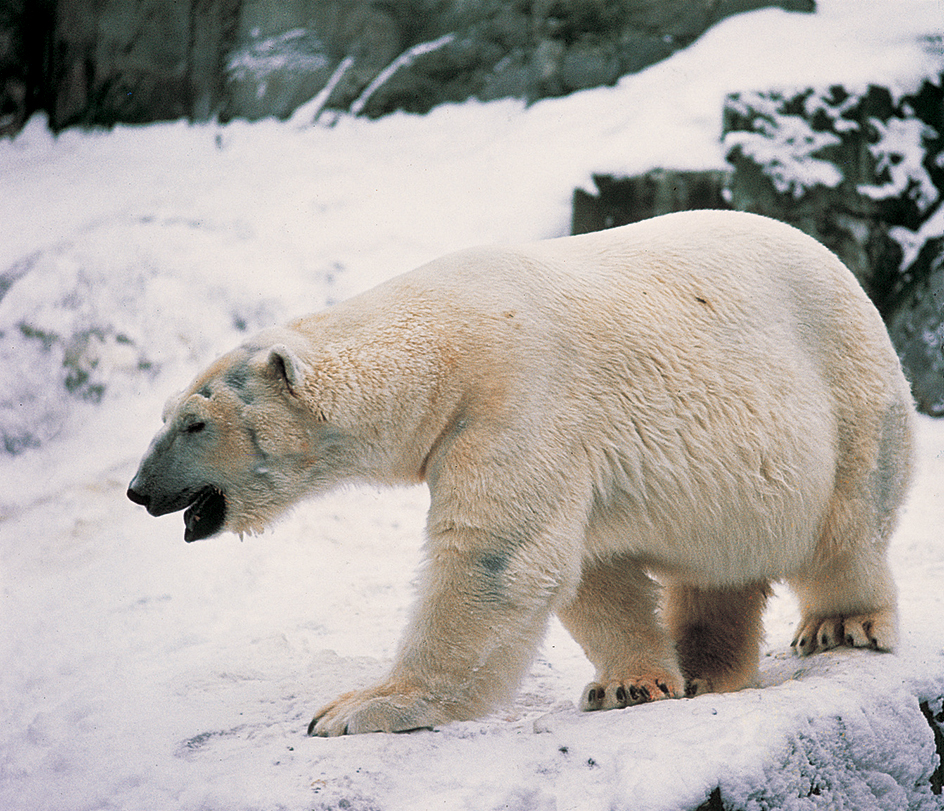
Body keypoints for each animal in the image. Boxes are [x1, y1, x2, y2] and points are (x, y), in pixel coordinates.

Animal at [127, 209, 916, 736]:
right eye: (165, 412)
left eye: (194, 423)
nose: (139, 491)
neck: (442, 343)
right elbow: (592, 569)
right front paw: (628, 685)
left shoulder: (518, 398)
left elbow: (495, 559)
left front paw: (356, 708)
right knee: (718, 567)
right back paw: (705, 668)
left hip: (847, 392)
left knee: (849, 525)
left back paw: (841, 624)